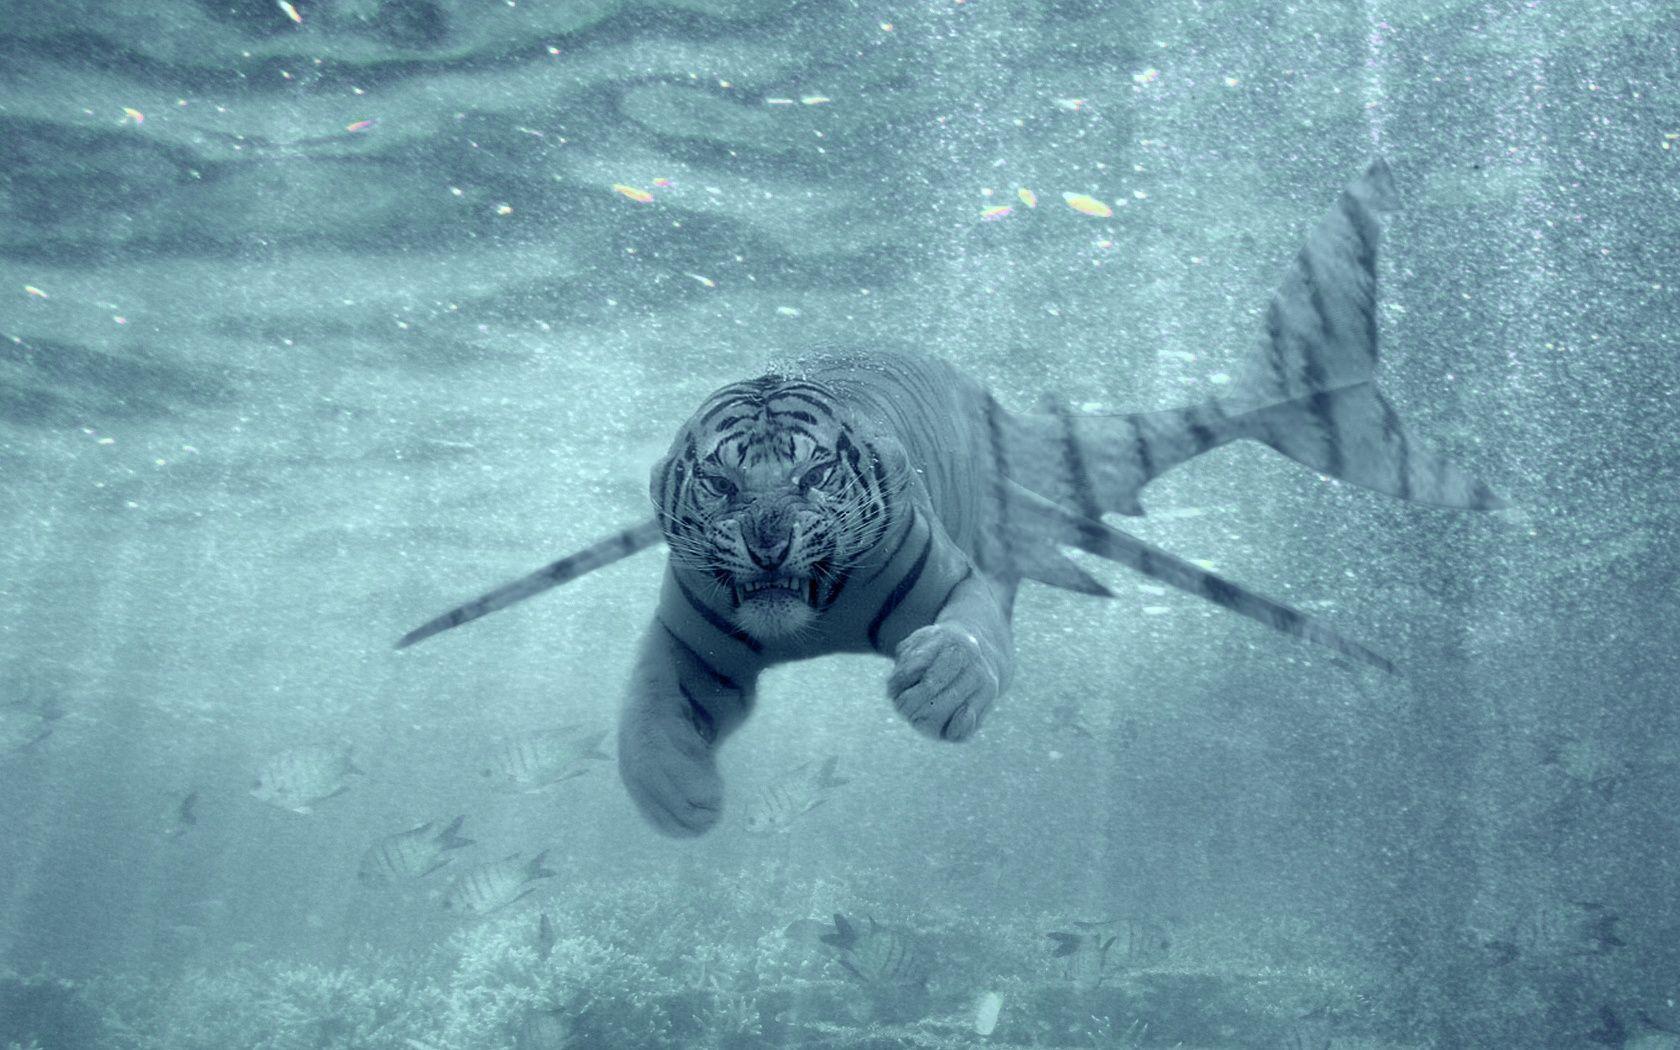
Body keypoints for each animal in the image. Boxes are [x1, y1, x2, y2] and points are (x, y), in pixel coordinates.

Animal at [398, 160, 1506, 837]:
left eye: (813, 474)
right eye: (719, 479)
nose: (767, 542)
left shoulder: (953, 578)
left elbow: (977, 633)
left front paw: (941, 688)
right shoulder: (691, 634)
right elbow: (645, 712)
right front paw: (679, 800)